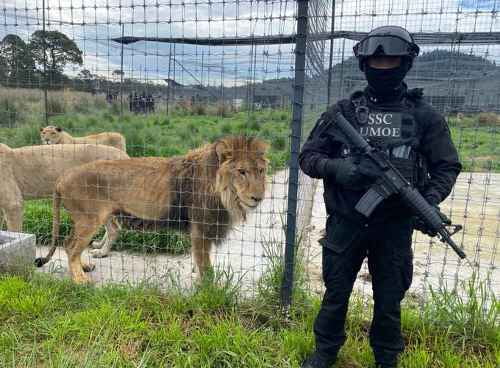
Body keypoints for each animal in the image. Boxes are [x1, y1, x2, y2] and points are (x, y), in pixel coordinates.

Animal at [36, 137, 270, 284]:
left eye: (260, 171)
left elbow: (200, 261)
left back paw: (85, 266)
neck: (225, 194)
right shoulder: (200, 228)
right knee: (70, 246)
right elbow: (206, 266)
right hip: (88, 219)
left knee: (75, 244)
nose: (258, 198)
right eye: (241, 172)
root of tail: (62, 178)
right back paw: (79, 279)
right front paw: (210, 290)